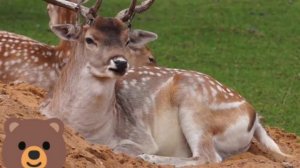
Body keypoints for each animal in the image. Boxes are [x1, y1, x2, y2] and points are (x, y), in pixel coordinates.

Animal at [40, 0, 290, 167]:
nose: (120, 63)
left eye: (127, 40)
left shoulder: (139, 135)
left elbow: (121, 148)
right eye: (90, 39)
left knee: (208, 157)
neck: (87, 127)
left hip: (196, 108)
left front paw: (141, 154)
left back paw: (151, 158)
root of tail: (254, 116)